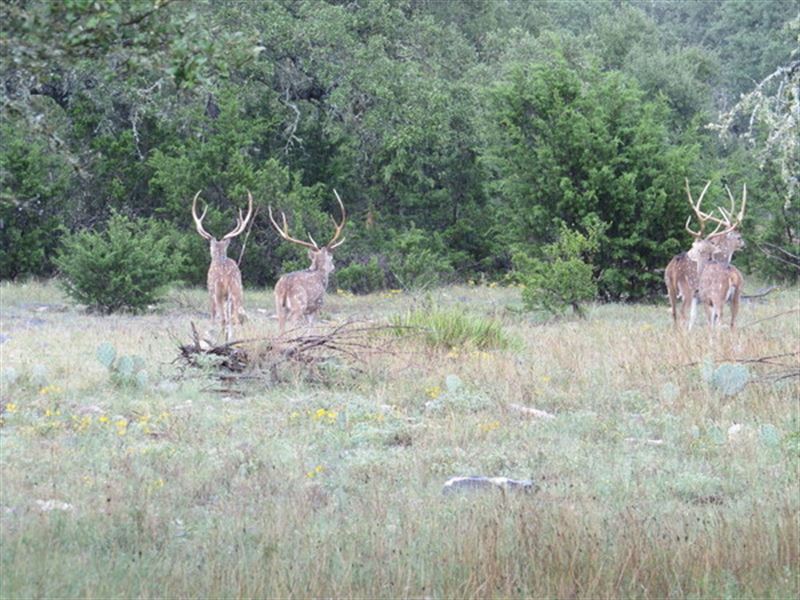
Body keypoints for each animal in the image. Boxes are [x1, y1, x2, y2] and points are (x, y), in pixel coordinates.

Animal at [191, 192, 253, 342]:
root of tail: (226, 276)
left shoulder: (210, 290)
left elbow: (213, 315)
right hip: (237, 289)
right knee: (235, 316)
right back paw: (231, 338)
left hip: (218, 290)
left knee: (224, 317)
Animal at [270, 190, 346, 336]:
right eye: (331, 258)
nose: (334, 267)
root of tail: (285, 286)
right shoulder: (316, 305)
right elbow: (311, 328)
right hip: (298, 304)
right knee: (292, 324)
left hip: (278, 304)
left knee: (280, 330)